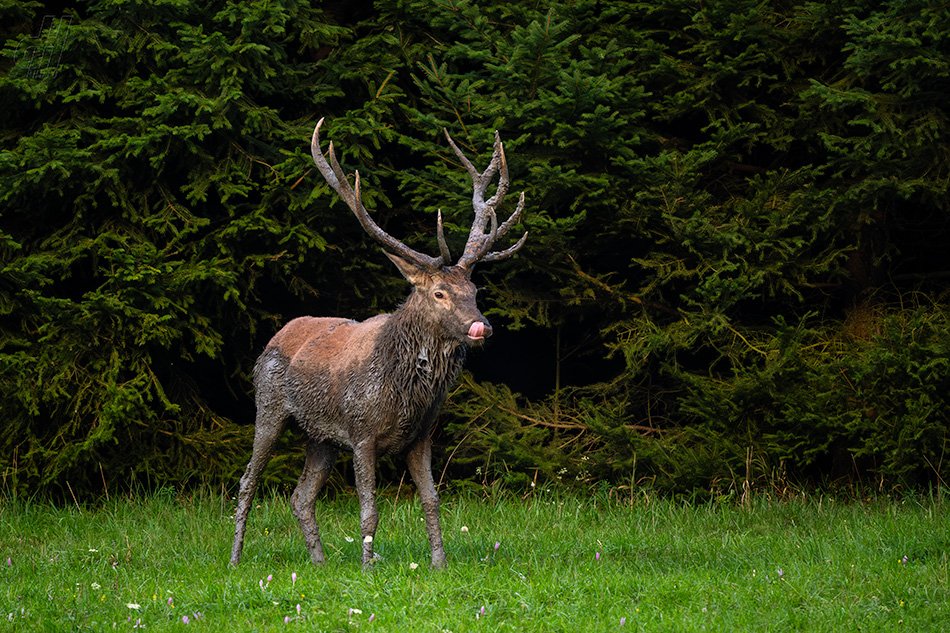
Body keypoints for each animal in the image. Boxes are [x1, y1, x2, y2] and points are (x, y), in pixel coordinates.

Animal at [231, 117, 528, 568]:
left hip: (320, 437)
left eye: (474, 290)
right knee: (249, 480)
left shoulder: (421, 435)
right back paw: (234, 559)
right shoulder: (361, 431)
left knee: (300, 497)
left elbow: (432, 500)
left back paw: (319, 563)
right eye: (439, 292)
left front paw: (440, 564)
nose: (482, 327)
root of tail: (277, 335)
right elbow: (369, 508)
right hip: (268, 405)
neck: (404, 392)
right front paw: (368, 567)